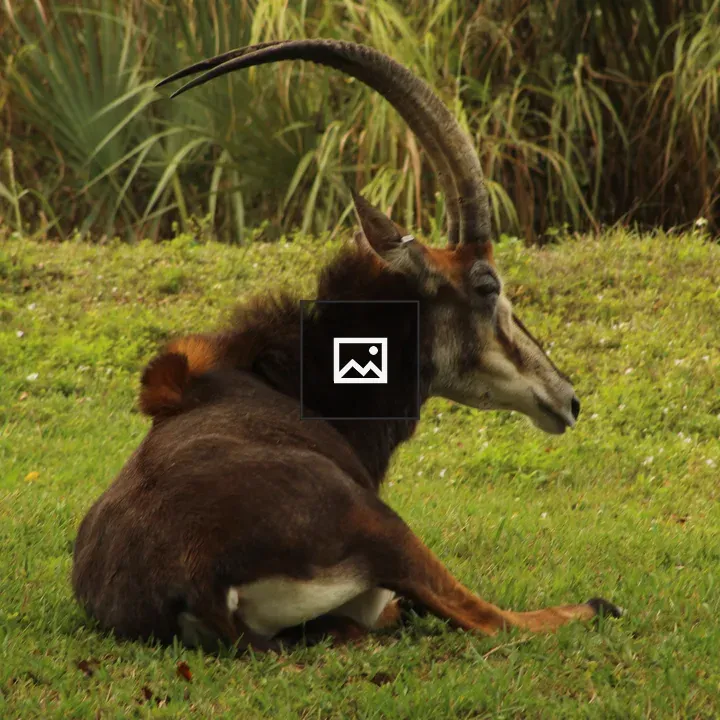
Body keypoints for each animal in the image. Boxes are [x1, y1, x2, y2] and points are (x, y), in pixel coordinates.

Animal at [72, 40, 621, 653]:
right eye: (487, 285)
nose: (567, 398)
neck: (290, 380)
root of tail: (195, 582)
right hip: (386, 527)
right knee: (485, 618)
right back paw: (593, 607)